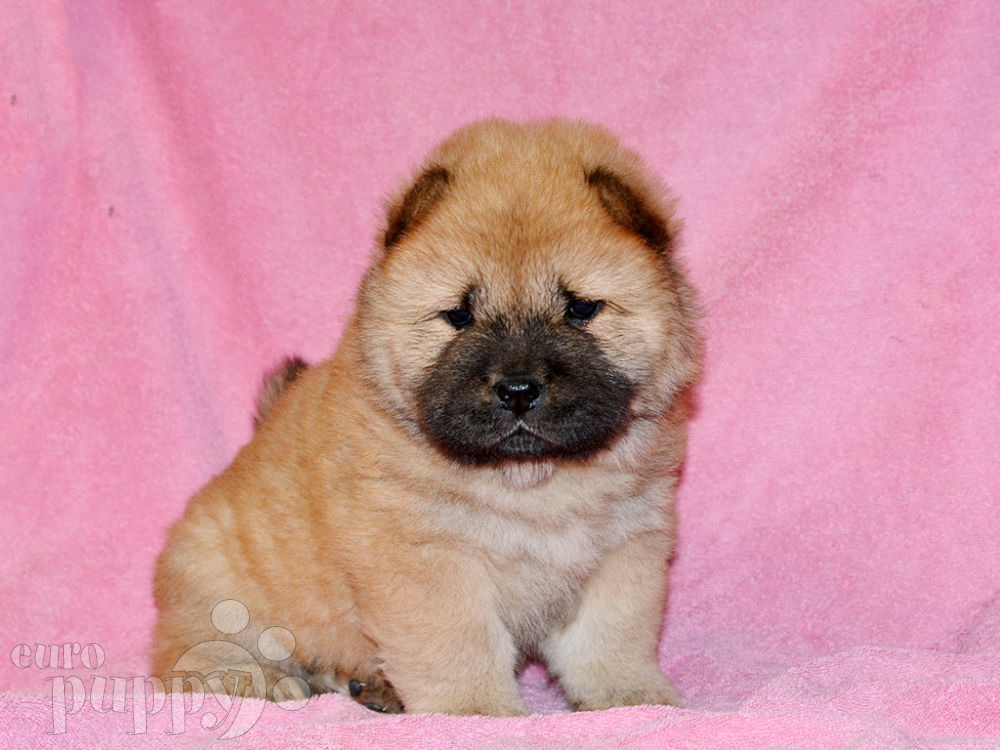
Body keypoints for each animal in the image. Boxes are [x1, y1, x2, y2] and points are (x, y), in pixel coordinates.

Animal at [156, 120, 704, 720]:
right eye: (458, 316)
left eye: (581, 309)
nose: (518, 389)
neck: (532, 483)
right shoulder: (424, 559)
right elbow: (460, 642)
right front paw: (475, 711)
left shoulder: (625, 546)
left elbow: (611, 636)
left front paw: (631, 698)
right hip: (219, 577)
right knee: (195, 653)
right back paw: (262, 681)